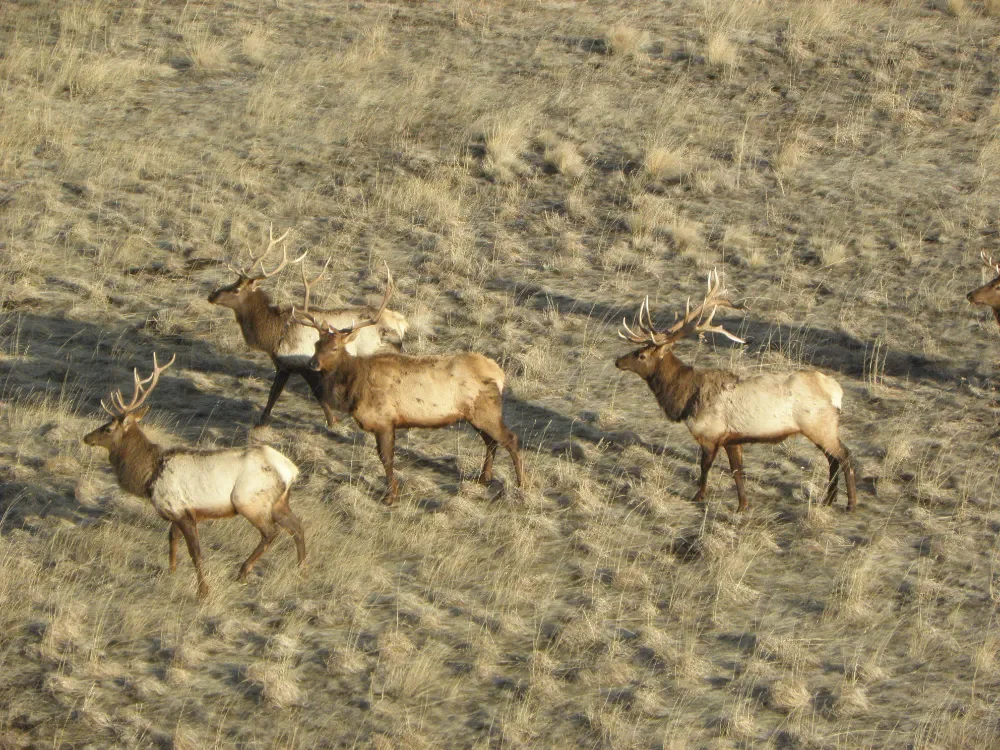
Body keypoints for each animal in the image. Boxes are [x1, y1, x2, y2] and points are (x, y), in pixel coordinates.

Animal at [82, 354, 306, 599]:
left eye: (108, 428)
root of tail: (291, 470)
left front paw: (203, 591)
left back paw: (243, 571)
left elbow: (195, 552)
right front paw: (171, 573)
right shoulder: (175, 511)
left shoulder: (184, 512)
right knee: (297, 526)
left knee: (271, 532)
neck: (149, 474)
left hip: (250, 500)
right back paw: (300, 569)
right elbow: (172, 541)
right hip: (278, 502)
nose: (86, 437)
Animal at [207, 224, 409, 427]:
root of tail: (401, 323)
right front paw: (261, 421)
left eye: (236, 290)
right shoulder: (283, 365)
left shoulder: (304, 364)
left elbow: (314, 395)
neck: (272, 336)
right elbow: (274, 394)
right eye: (233, 282)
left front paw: (332, 421)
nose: (212, 295)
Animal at [293, 269, 525, 506]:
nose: (312, 363)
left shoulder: (384, 419)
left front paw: (390, 496)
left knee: (511, 439)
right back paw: (484, 478)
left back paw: (520, 484)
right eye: (316, 344)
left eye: (335, 348)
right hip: (474, 414)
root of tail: (500, 374)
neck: (354, 387)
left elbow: (386, 458)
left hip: (486, 409)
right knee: (491, 441)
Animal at [614, 270, 858, 512]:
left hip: (819, 425)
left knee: (844, 455)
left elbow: (705, 467)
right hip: (822, 428)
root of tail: (837, 392)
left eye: (641, 355)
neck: (685, 400)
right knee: (832, 459)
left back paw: (850, 503)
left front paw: (698, 496)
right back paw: (828, 500)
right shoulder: (732, 439)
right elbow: (737, 471)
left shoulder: (710, 434)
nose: (618, 361)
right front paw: (742, 505)